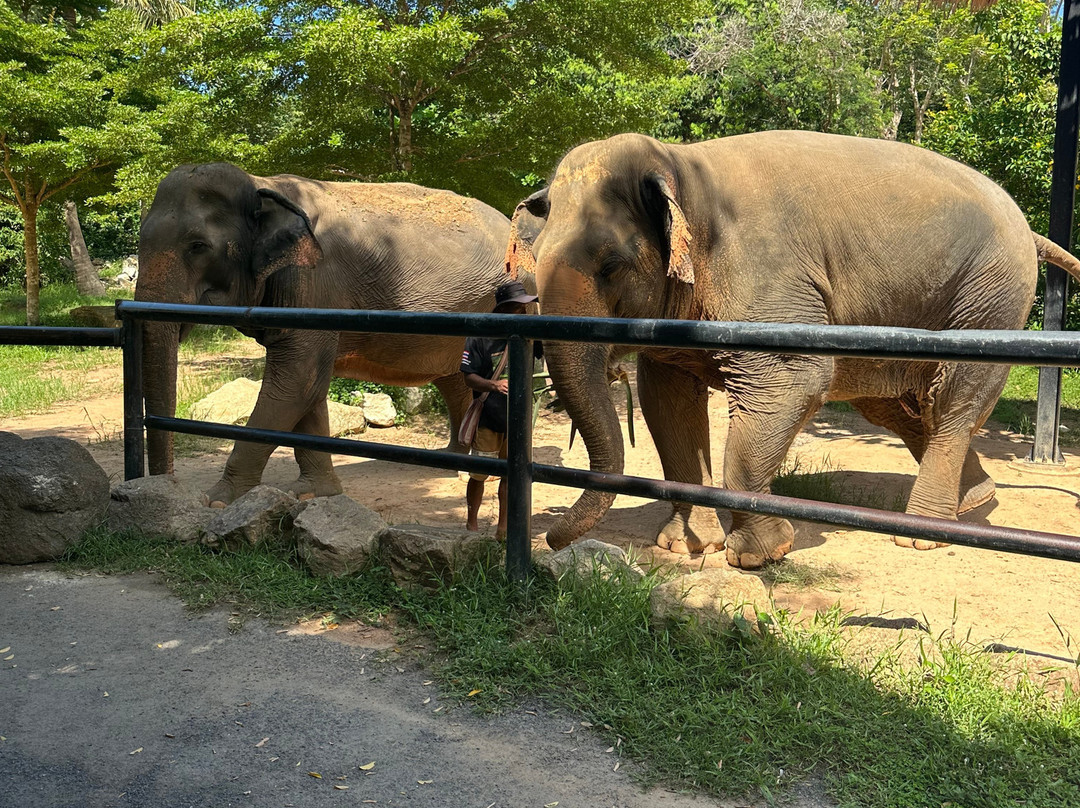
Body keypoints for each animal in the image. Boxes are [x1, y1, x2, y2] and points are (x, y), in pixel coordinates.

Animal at [137, 162, 533, 507]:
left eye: (198, 246)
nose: (167, 486)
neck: (261, 183)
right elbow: (308, 389)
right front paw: (314, 493)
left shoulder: (316, 284)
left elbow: (297, 380)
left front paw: (217, 501)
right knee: (455, 378)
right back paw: (456, 463)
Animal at [505, 130, 1080, 569]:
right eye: (533, 255)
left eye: (611, 265)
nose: (549, 539)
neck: (680, 162)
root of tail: (1029, 228)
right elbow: (667, 402)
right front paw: (684, 547)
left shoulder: (768, 283)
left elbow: (791, 382)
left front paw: (757, 554)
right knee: (896, 408)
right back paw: (974, 500)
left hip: (990, 299)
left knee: (953, 403)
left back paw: (922, 534)